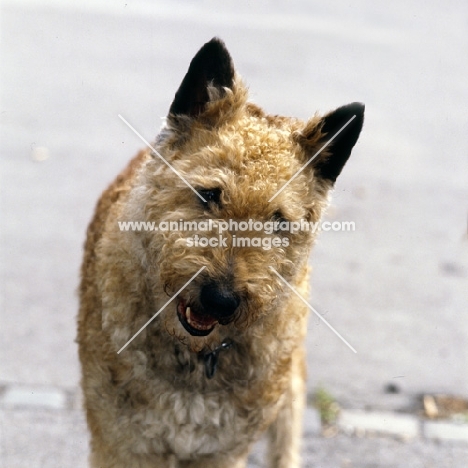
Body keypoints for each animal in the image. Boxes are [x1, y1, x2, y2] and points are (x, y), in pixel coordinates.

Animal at [77, 37, 364, 468]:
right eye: (209, 194)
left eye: (279, 220)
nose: (221, 299)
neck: (198, 357)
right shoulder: (122, 444)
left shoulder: (222, 452)